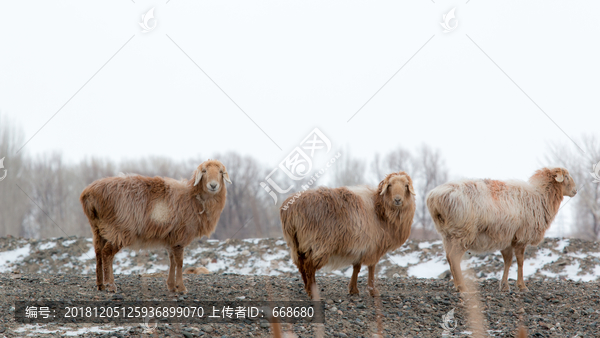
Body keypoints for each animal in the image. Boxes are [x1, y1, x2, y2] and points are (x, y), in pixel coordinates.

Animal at [79, 160, 230, 292]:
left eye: (220, 172)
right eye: (204, 171)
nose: (213, 185)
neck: (194, 199)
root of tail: (89, 193)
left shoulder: (171, 238)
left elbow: (172, 260)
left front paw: (171, 286)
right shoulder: (180, 237)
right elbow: (179, 262)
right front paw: (181, 288)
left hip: (98, 229)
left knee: (98, 252)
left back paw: (100, 285)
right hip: (118, 230)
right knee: (107, 254)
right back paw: (111, 286)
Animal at [278, 173, 414, 298]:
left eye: (406, 186)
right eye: (389, 185)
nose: (397, 200)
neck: (380, 209)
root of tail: (291, 209)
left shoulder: (361, 246)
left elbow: (356, 267)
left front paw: (353, 289)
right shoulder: (373, 246)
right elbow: (371, 267)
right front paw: (372, 291)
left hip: (296, 243)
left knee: (301, 265)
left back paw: (307, 289)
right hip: (317, 243)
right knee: (309, 266)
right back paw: (313, 293)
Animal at [426, 168, 576, 292]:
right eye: (566, 176)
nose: (575, 191)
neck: (541, 196)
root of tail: (434, 198)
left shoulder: (508, 238)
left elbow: (507, 262)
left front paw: (504, 285)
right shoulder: (521, 237)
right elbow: (520, 262)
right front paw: (522, 286)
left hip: (447, 235)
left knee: (449, 258)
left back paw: (457, 285)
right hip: (463, 232)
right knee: (454, 258)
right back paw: (462, 287)